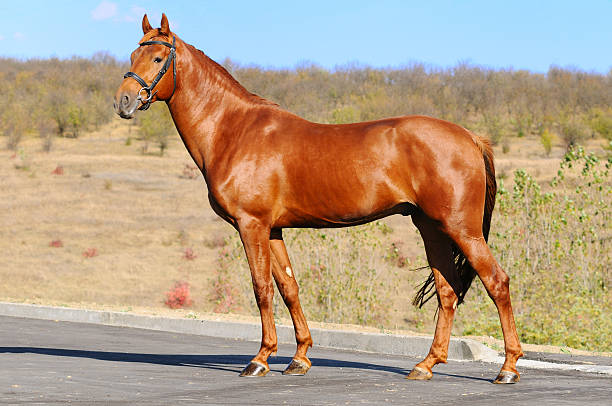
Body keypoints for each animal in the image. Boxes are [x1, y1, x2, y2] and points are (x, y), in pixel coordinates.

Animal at [116, 14, 524, 384]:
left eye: (157, 58)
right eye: (133, 54)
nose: (124, 101)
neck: (235, 131)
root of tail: (471, 137)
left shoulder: (252, 225)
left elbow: (262, 288)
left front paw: (260, 360)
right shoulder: (273, 230)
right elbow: (289, 288)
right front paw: (299, 358)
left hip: (462, 229)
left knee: (497, 282)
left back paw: (507, 368)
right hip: (432, 228)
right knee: (447, 292)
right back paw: (426, 365)